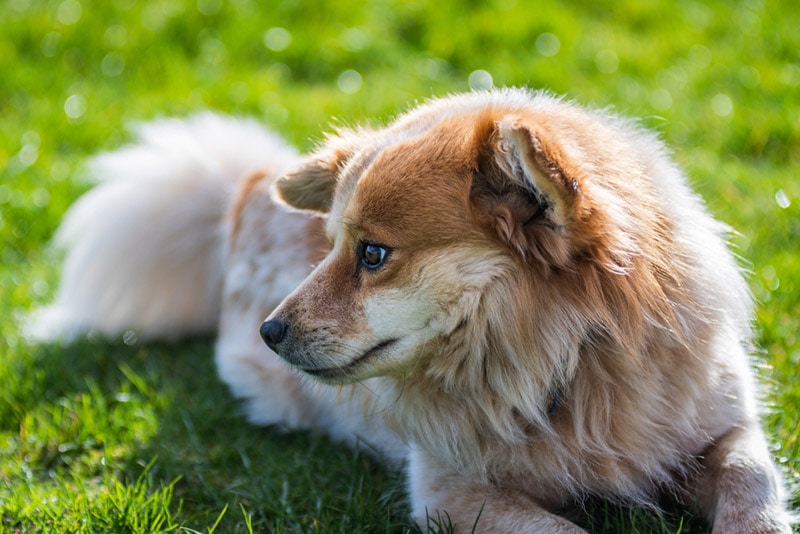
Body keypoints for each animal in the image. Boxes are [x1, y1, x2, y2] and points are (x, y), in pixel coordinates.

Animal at [32, 88, 792, 532]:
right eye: (329, 246)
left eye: (372, 254)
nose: (271, 330)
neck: (573, 366)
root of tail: (242, 194)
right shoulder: (451, 494)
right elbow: (568, 530)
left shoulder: (726, 427)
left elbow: (753, 488)